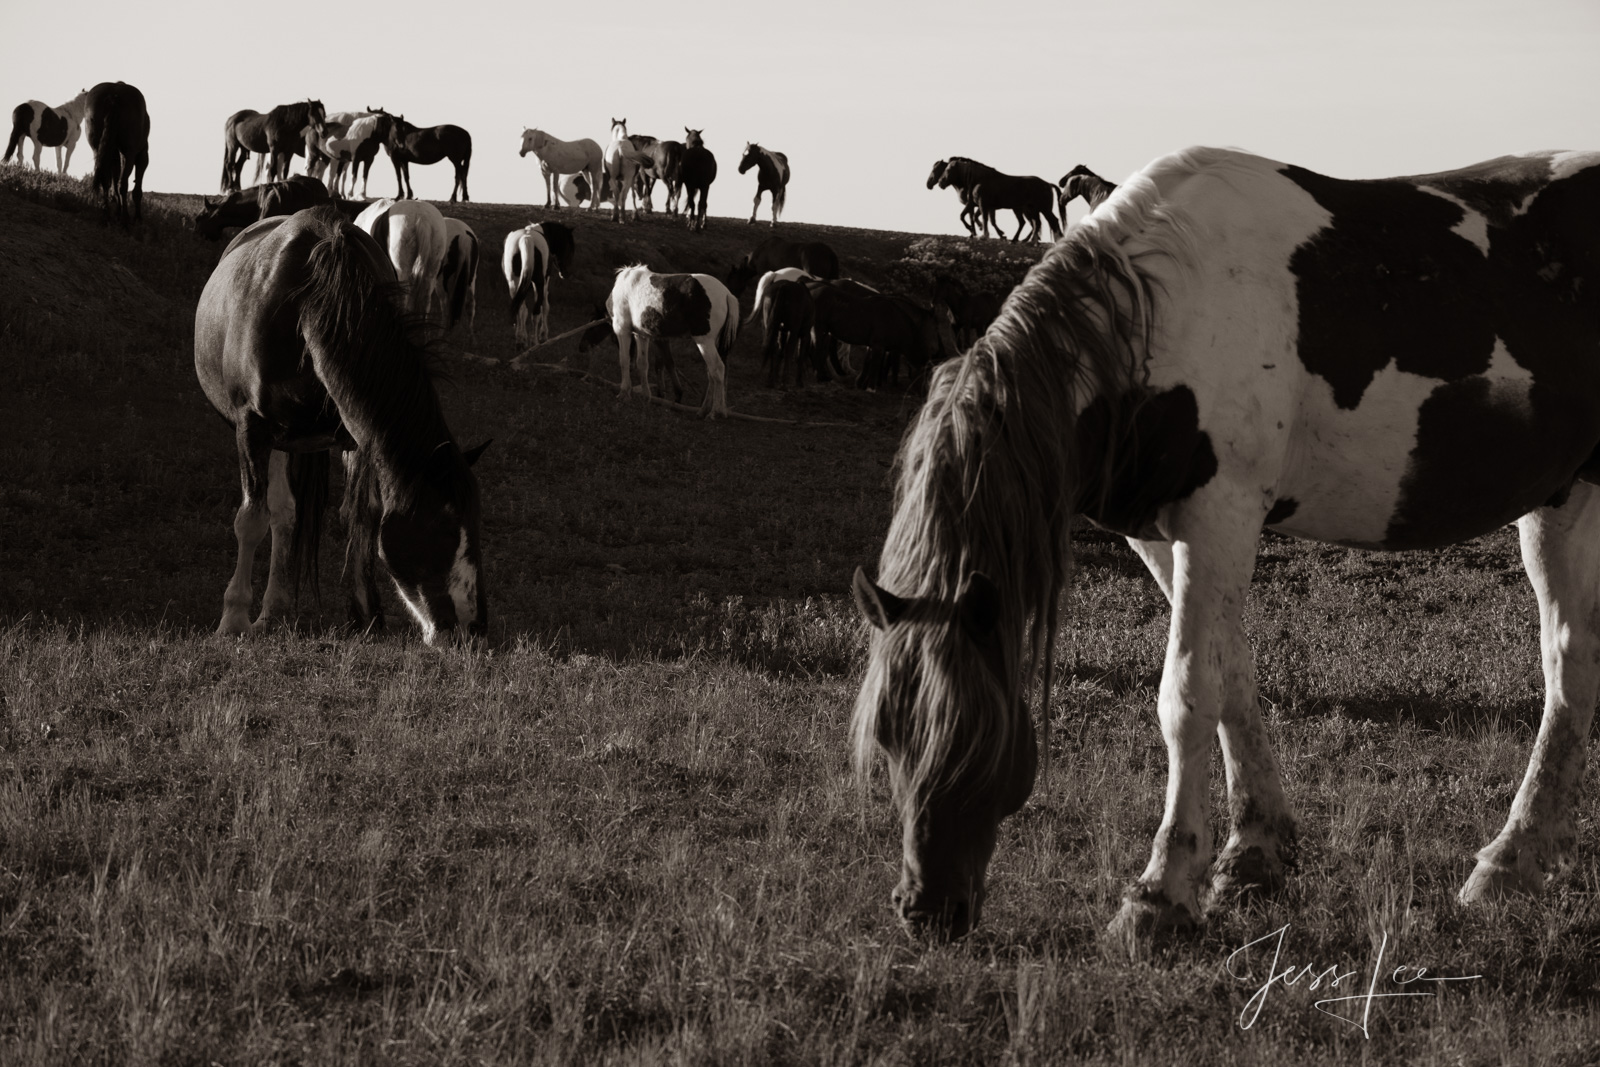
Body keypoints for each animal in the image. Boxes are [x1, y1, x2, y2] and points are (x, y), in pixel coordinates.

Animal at [83, 82, 149, 225]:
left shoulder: (113, 154)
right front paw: (137, 217)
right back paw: (125, 219)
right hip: (129, 153)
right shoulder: (142, 155)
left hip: (98, 149)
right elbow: (136, 189)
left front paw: (117, 211)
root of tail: (113, 96)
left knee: (105, 179)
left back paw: (106, 215)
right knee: (122, 183)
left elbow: (113, 178)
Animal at [192, 206, 486, 643]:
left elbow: (361, 517)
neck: (314, 300)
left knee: (287, 514)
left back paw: (275, 610)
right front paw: (233, 618)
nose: (474, 628)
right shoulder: (252, 429)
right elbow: (250, 520)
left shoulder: (358, 439)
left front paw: (367, 615)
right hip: (272, 439)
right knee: (277, 513)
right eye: (445, 529)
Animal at [857, 143, 1600, 953]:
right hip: (1561, 500)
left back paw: (1508, 860)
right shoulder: (1162, 535)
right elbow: (1232, 681)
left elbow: (1185, 696)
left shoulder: (1220, 517)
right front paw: (1253, 856)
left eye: (972, 736)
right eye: (888, 735)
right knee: (1572, 659)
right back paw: (1520, 860)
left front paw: (1158, 896)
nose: (927, 913)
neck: (1161, 309)